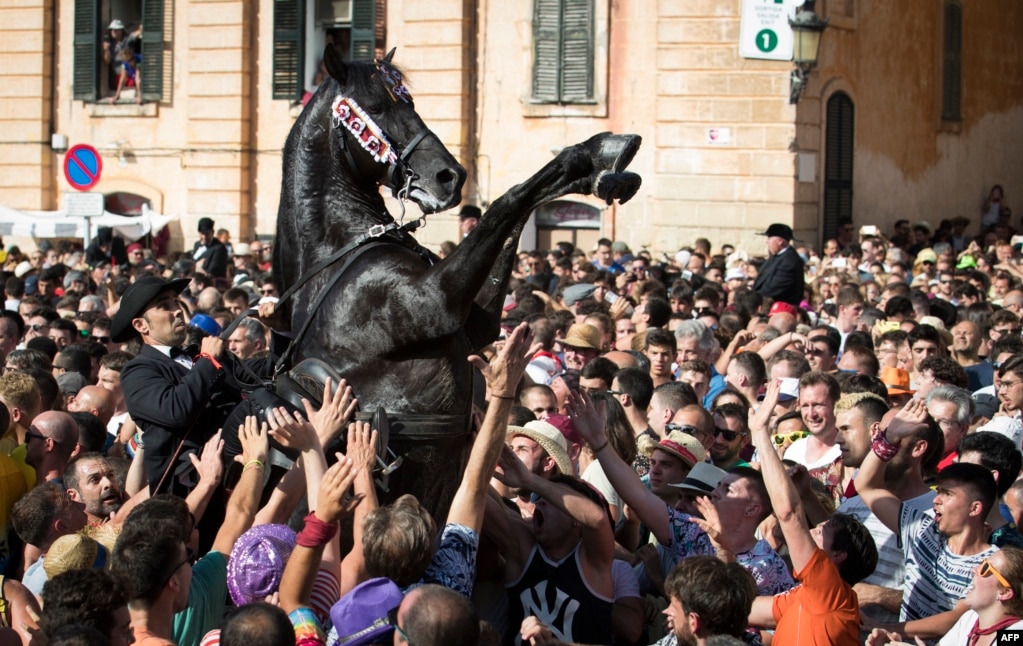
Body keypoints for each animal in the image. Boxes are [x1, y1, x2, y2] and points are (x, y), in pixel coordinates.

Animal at [272, 45, 638, 524]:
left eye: (409, 102)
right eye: (375, 108)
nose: (450, 177)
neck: (340, 247)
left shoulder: (475, 322)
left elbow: (518, 209)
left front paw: (604, 164)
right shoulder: (436, 302)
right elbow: (510, 198)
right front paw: (591, 155)